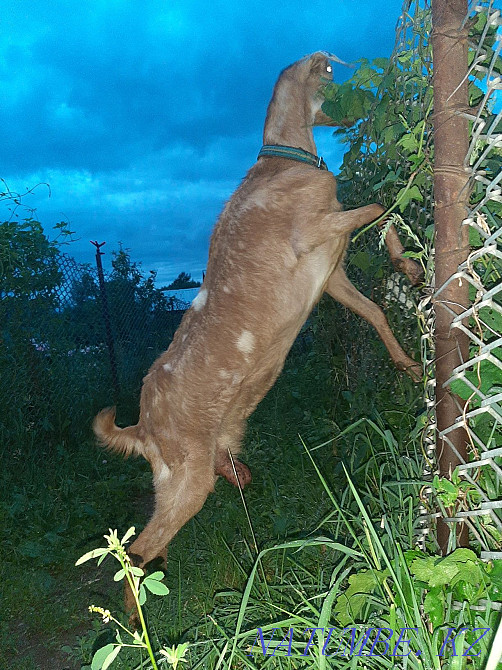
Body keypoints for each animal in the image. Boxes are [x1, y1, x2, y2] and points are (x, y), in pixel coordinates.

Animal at [93, 51, 421, 615]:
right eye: (333, 74)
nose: (369, 103)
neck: (287, 161)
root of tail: (143, 429)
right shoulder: (313, 234)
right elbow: (377, 204)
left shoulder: (332, 273)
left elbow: (376, 307)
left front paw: (408, 354)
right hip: (187, 482)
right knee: (137, 551)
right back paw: (138, 625)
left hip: (195, 473)